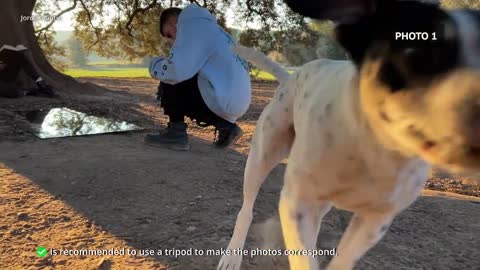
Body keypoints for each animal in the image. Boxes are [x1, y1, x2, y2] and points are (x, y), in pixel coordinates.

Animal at [219, 0, 480, 270]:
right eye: (418, 54)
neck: (375, 148)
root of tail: (292, 77)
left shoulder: (374, 222)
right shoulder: (297, 203)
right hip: (262, 156)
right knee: (247, 208)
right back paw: (232, 255)